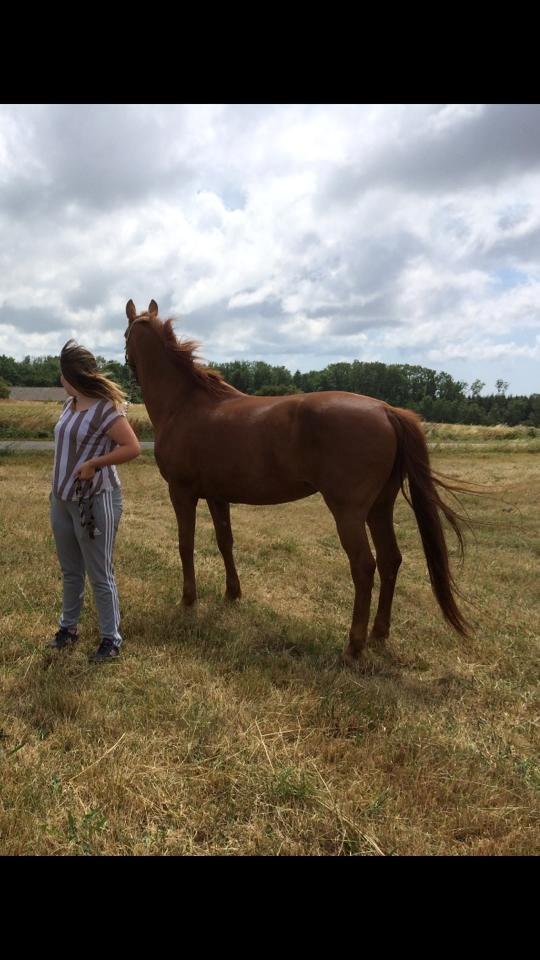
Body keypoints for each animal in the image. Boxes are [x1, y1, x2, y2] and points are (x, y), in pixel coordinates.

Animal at [125, 298, 468, 660]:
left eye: (125, 334)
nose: (127, 367)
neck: (184, 404)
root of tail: (387, 410)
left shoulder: (182, 492)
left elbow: (185, 543)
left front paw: (188, 598)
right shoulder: (218, 496)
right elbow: (224, 542)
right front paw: (232, 593)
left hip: (349, 513)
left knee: (364, 566)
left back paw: (354, 645)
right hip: (379, 507)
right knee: (391, 560)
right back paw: (378, 632)